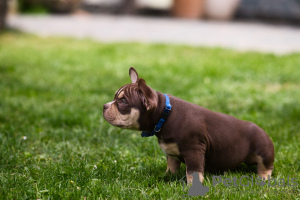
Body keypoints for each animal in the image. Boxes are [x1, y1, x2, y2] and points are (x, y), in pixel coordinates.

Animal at [102, 67, 274, 184]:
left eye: (123, 102)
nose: (104, 106)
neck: (164, 115)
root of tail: (263, 130)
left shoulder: (194, 152)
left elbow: (193, 172)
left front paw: (192, 187)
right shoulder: (171, 153)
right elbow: (171, 165)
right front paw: (167, 176)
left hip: (263, 150)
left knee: (266, 167)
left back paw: (262, 179)